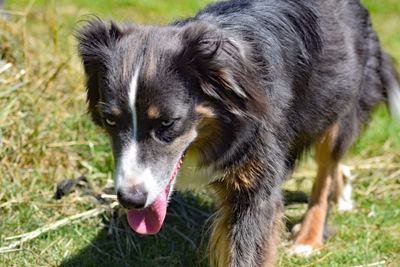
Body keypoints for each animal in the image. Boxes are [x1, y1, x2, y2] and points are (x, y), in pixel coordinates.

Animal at [76, 0, 400, 266]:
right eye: (110, 120)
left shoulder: (256, 178)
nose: (130, 200)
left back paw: (309, 237)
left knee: (326, 170)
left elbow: (249, 246)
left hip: (341, 99)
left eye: (167, 123)